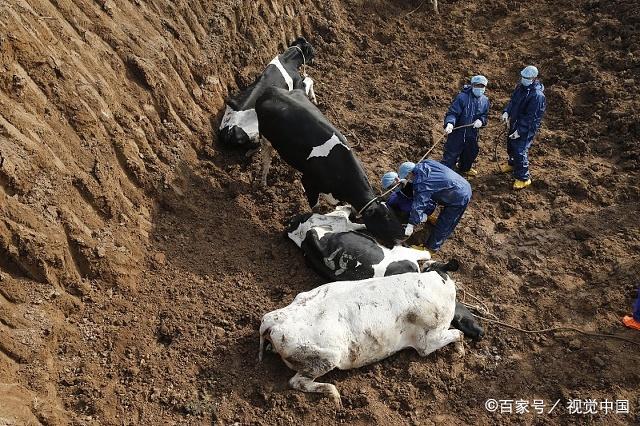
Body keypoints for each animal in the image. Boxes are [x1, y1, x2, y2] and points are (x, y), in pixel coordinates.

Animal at [256, 87, 402, 246]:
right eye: (384, 224)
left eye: (394, 216)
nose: (403, 238)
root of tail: (272, 90)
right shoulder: (309, 182)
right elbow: (316, 209)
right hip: (265, 138)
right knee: (266, 159)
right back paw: (263, 182)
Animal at [258, 268, 462, 404]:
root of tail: (272, 322)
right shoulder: (428, 340)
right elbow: (458, 334)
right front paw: (461, 352)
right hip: (327, 357)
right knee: (297, 382)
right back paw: (335, 396)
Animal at [286, 206, 484, 340]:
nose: (479, 333)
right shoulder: (403, 252)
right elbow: (425, 254)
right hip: (327, 225)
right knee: (341, 218)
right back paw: (346, 209)